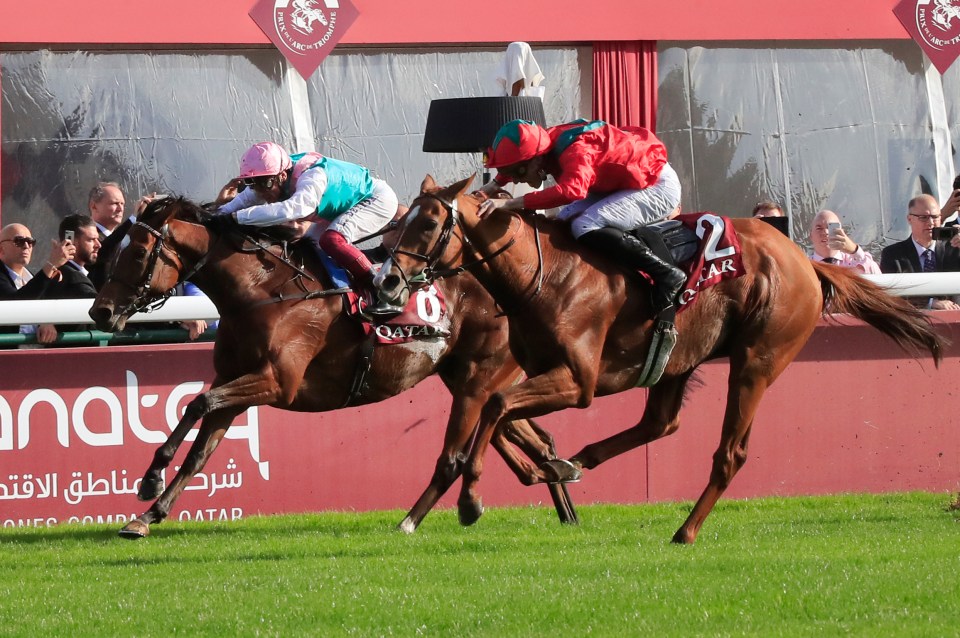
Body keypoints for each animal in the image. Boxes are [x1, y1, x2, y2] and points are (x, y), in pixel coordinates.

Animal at [88, 198, 576, 536]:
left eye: (137, 253)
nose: (100, 311)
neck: (262, 290)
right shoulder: (235, 383)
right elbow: (199, 451)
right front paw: (147, 515)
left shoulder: (275, 382)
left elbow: (196, 404)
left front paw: (150, 481)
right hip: (466, 379)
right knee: (527, 433)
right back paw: (559, 484)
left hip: (479, 377)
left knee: (469, 447)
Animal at [376, 175, 944, 544]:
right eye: (400, 222)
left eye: (428, 223)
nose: (385, 281)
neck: (545, 273)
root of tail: (807, 263)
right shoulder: (524, 371)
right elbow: (498, 415)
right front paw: (535, 470)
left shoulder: (579, 382)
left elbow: (494, 408)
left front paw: (470, 500)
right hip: (677, 360)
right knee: (661, 423)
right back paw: (577, 461)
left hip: (757, 360)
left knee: (729, 453)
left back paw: (686, 529)